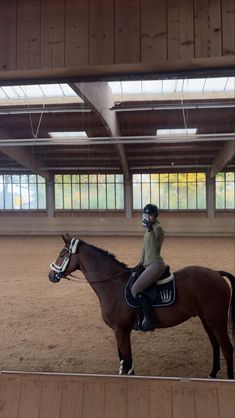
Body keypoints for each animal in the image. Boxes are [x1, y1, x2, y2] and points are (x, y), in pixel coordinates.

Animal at [48, 233, 235, 380]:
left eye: (62, 254)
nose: (51, 275)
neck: (113, 285)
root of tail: (217, 274)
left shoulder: (121, 330)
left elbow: (126, 361)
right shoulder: (122, 331)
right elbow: (126, 360)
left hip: (217, 321)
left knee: (227, 348)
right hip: (206, 320)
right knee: (215, 345)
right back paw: (212, 374)